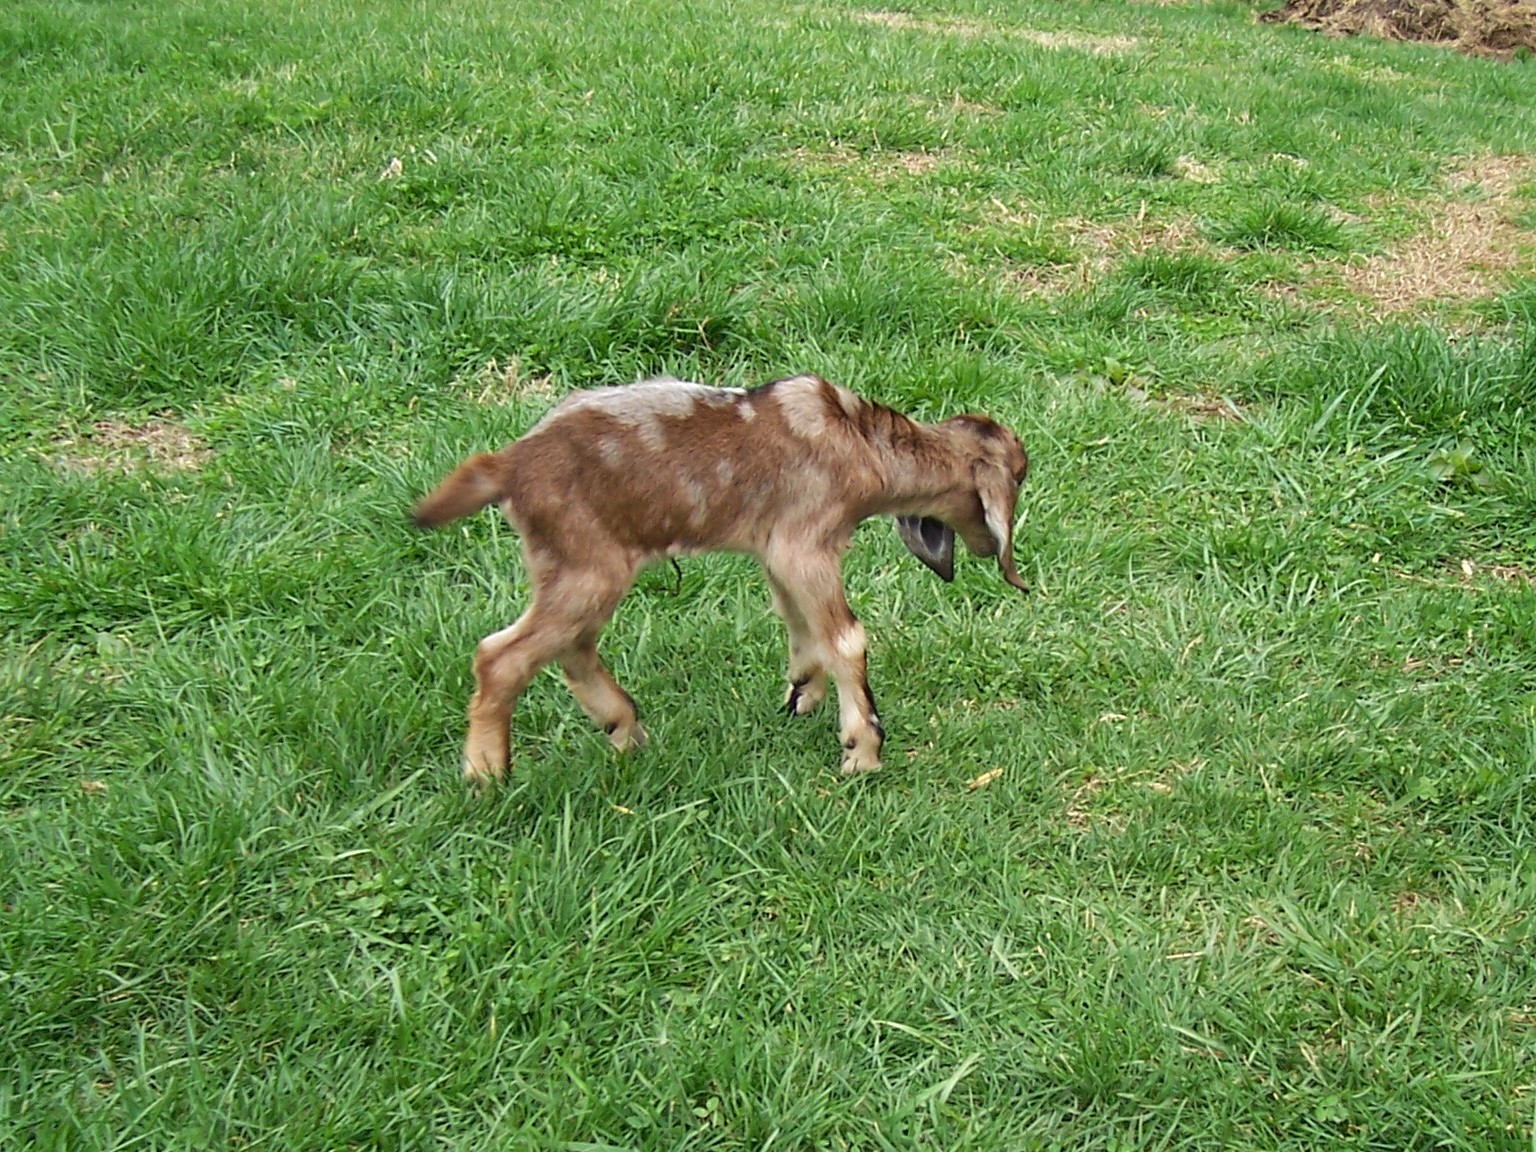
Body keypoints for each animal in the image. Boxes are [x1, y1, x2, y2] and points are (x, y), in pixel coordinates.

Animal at [413, 373, 1029, 789]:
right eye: (1017, 478)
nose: (988, 549)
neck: (860, 442)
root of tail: (509, 466)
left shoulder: (775, 551)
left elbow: (800, 626)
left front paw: (801, 695)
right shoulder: (806, 543)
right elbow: (846, 639)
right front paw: (862, 750)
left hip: (565, 568)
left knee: (570, 647)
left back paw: (625, 730)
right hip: (589, 568)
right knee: (502, 655)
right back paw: (487, 773)